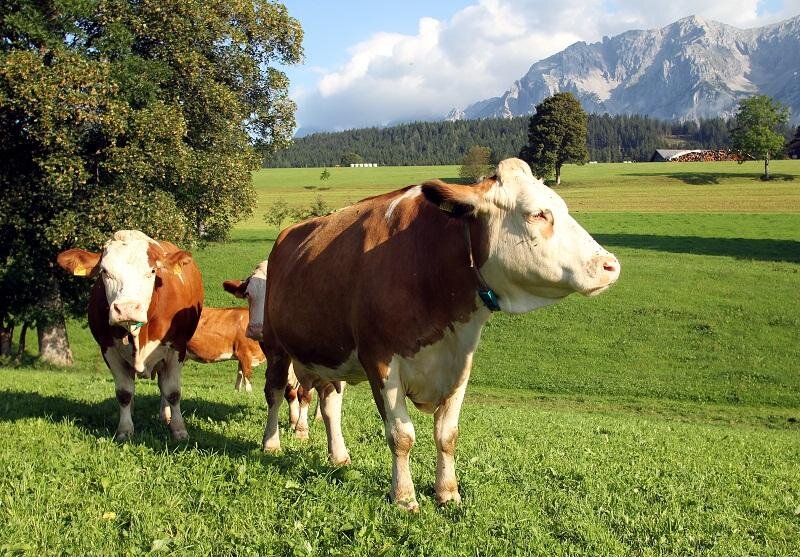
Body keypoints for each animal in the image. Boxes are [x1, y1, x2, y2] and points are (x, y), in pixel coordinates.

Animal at [57, 230, 203, 441]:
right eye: (104, 271)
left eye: (152, 271)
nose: (126, 308)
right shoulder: (108, 349)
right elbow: (124, 393)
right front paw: (125, 430)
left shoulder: (177, 348)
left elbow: (173, 392)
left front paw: (179, 429)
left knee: (163, 386)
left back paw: (165, 415)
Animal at [257, 158, 621, 510]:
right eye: (538, 214)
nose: (610, 265)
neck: (428, 266)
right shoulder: (380, 361)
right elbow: (401, 435)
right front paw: (404, 497)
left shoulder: (460, 361)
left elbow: (447, 434)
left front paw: (448, 493)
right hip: (275, 345)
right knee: (274, 393)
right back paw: (271, 444)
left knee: (330, 403)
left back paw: (339, 456)